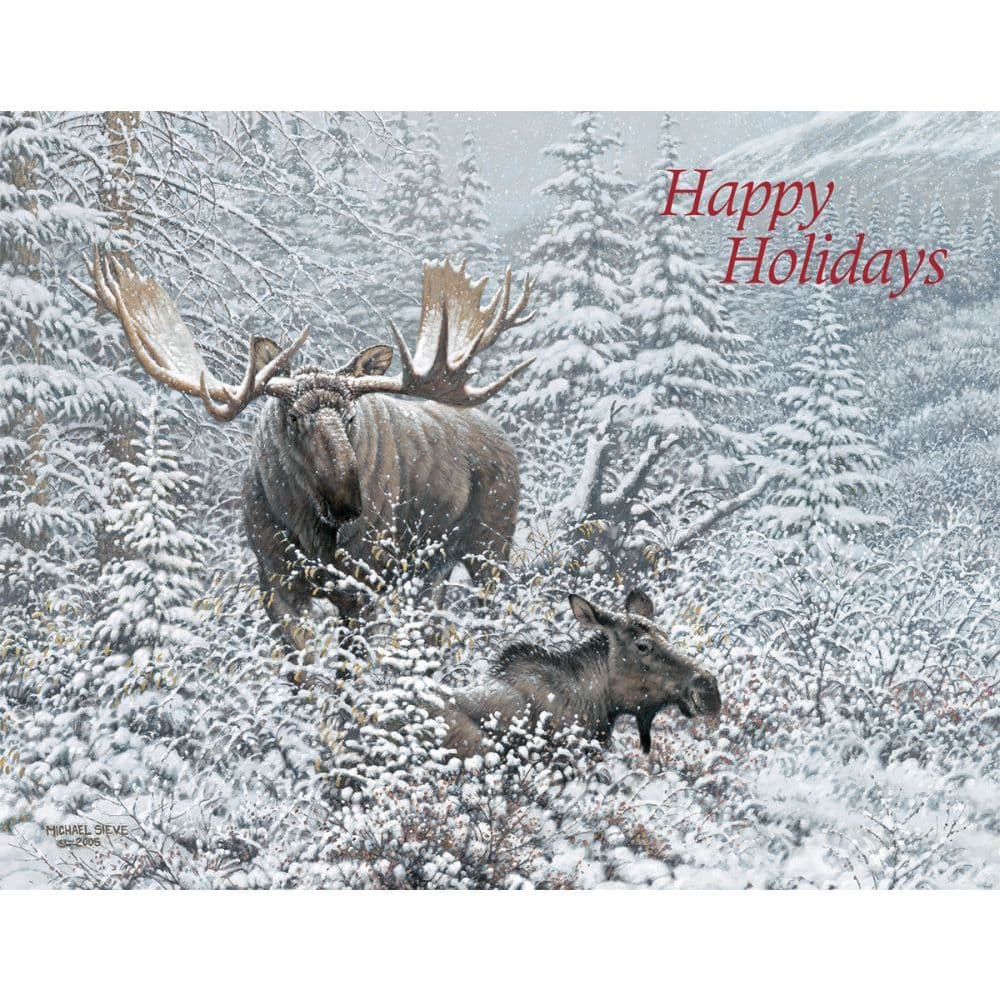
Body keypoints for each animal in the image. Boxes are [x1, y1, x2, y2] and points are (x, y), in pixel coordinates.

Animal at [77, 251, 534, 651]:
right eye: (293, 417)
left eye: (350, 416)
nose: (347, 502)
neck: (307, 533)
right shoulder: (273, 581)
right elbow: (304, 668)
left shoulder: (360, 584)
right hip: (432, 569)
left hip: (491, 543)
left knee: (491, 611)